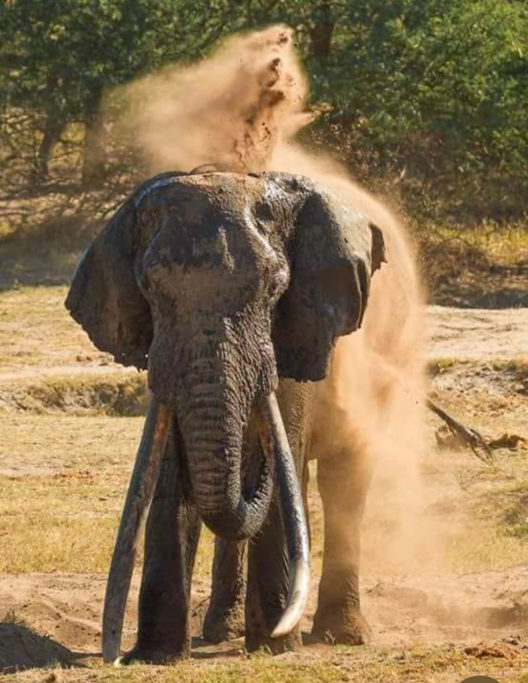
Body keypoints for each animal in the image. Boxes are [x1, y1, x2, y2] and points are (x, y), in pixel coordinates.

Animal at [66, 168, 384, 664]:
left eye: (275, 289)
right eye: (149, 289)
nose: (112, 656)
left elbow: (281, 454)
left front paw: (276, 649)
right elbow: (173, 476)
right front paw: (156, 656)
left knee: (338, 481)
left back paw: (341, 636)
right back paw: (223, 630)